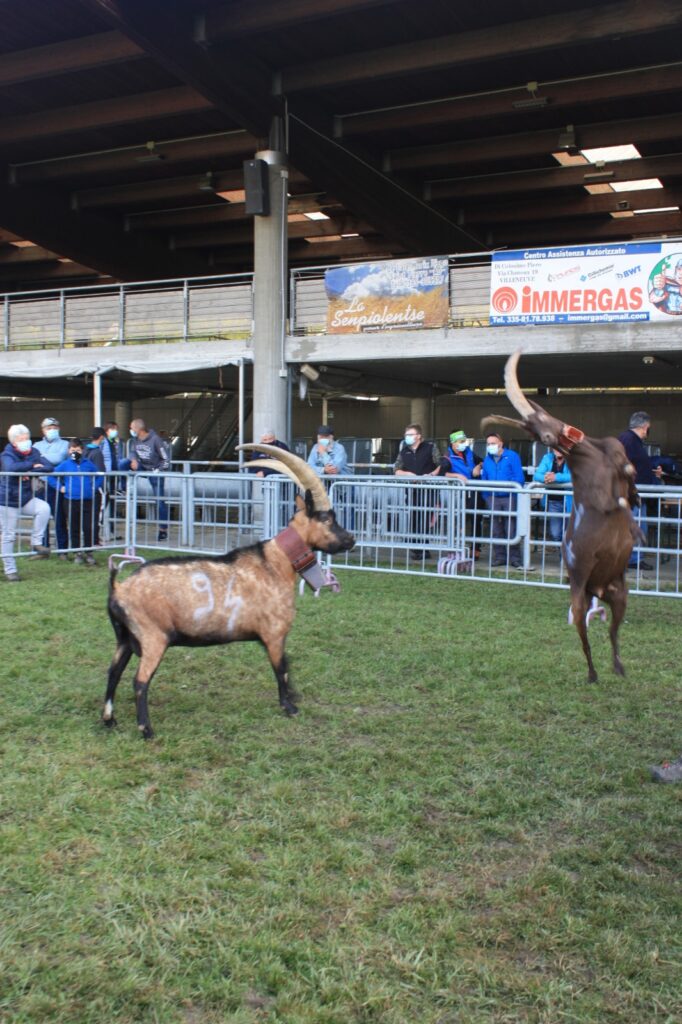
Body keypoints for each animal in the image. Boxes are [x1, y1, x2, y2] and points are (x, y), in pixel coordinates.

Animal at [104, 444, 356, 741]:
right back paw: (146, 729)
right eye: (327, 518)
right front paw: (289, 707)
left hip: (125, 638)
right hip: (153, 636)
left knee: (113, 672)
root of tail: (118, 588)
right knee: (139, 681)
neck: (275, 563)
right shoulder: (274, 633)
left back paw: (109, 720)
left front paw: (294, 698)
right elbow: (280, 668)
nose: (351, 540)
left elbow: (287, 665)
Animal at [481, 350, 638, 679]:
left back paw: (618, 667)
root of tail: (597, 588)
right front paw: (637, 529)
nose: (550, 439)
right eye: (532, 430)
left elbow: (629, 482)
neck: (590, 455)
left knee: (612, 633)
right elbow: (617, 501)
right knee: (586, 640)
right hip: (579, 599)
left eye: (539, 419)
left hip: (620, 595)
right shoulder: (600, 498)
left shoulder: (619, 459)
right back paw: (593, 675)